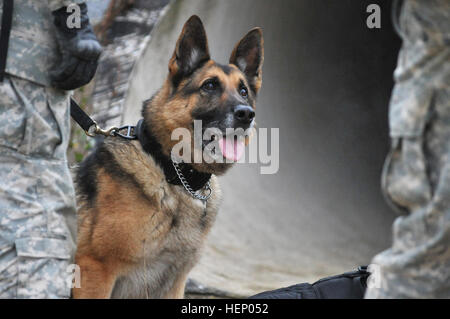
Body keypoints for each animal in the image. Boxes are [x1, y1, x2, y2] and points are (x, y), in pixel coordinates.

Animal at [73, 16, 264, 298]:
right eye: (209, 85)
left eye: (243, 91)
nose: (246, 114)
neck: (172, 171)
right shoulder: (94, 270)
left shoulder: (174, 282)